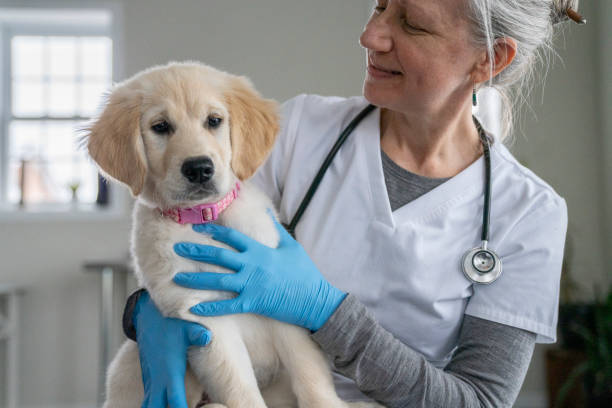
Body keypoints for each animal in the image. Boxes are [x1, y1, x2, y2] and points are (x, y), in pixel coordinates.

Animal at [83, 61, 380, 408]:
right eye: (160, 127)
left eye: (214, 121)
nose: (199, 168)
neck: (205, 218)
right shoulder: (204, 317)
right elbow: (239, 386)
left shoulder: (282, 298)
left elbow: (309, 373)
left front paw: (327, 404)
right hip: (130, 362)